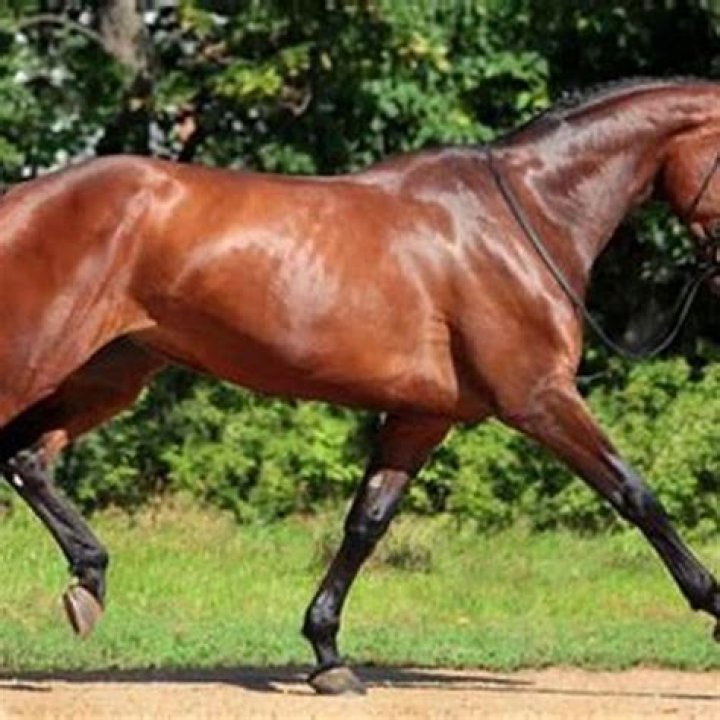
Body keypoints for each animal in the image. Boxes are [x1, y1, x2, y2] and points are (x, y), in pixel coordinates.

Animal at [1, 77, 719, 695]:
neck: (523, 218)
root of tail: (19, 201)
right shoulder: (539, 397)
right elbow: (637, 495)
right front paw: (713, 604)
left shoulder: (422, 416)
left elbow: (366, 523)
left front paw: (328, 655)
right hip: (34, 363)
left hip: (112, 372)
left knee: (28, 460)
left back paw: (89, 581)